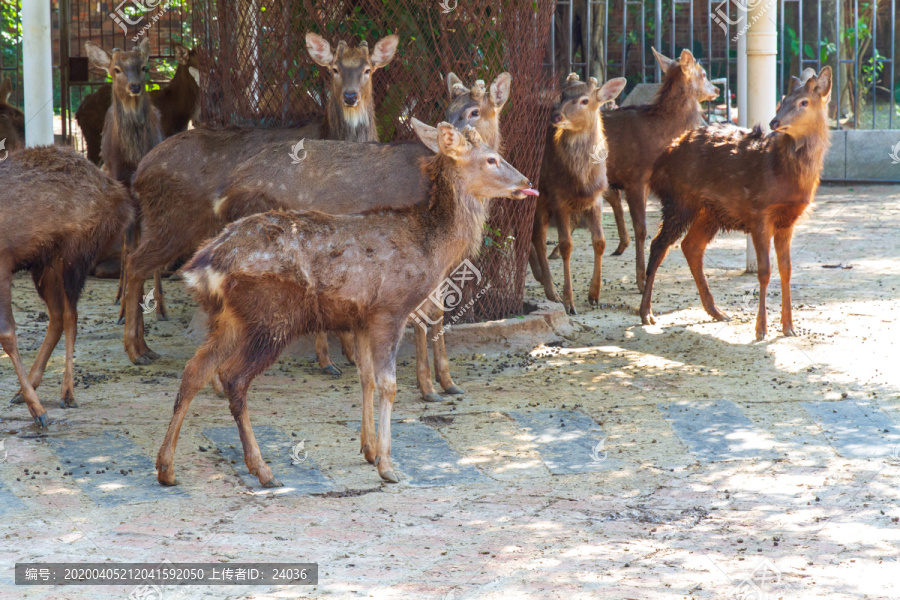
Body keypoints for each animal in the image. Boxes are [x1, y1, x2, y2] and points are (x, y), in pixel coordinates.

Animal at [120, 34, 398, 366]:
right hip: (173, 221)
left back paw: (144, 346)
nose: (351, 96)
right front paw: (332, 359)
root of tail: (139, 173)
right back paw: (136, 350)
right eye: (334, 69)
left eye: (368, 69)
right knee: (136, 264)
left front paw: (347, 354)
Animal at [156, 120, 536, 488]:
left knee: (194, 370)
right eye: (491, 159)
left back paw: (166, 468)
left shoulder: (361, 318)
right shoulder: (390, 310)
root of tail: (204, 264)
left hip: (229, 319)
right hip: (270, 318)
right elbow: (389, 385)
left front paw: (368, 450)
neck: (433, 248)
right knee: (233, 377)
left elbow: (366, 378)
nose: (527, 182)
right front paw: (387, 466)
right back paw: (262, 470)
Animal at [528, 74, 624, 314]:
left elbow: (600, 241)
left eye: (584, 100)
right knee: (537, 236)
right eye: (562, 94)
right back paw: (550, 290)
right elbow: (566, 245)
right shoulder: (557, 196)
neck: (581, 182)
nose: (555, 115)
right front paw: (569, 302)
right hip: (537, 194)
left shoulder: (597, 197)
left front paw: (594, 295)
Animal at [600, 49, 720, 296]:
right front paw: (641, 281)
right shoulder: (634, 178)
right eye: (703, 73)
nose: (717, 90)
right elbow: (641, 229)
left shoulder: (645, 183)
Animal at [636, 66, 832, 342]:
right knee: (658, 244)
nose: (774, 122)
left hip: (709, 211)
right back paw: (646, 313)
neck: (783, 173)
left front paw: (788, 327)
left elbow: (786, 269)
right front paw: (761, 330)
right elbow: (764, 271)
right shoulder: (760, 212)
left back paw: (716, 311)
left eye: (804, 102)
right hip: (680, 199)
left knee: (691, 246)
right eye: (783, 99)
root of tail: (663, 158)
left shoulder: (787, 220)